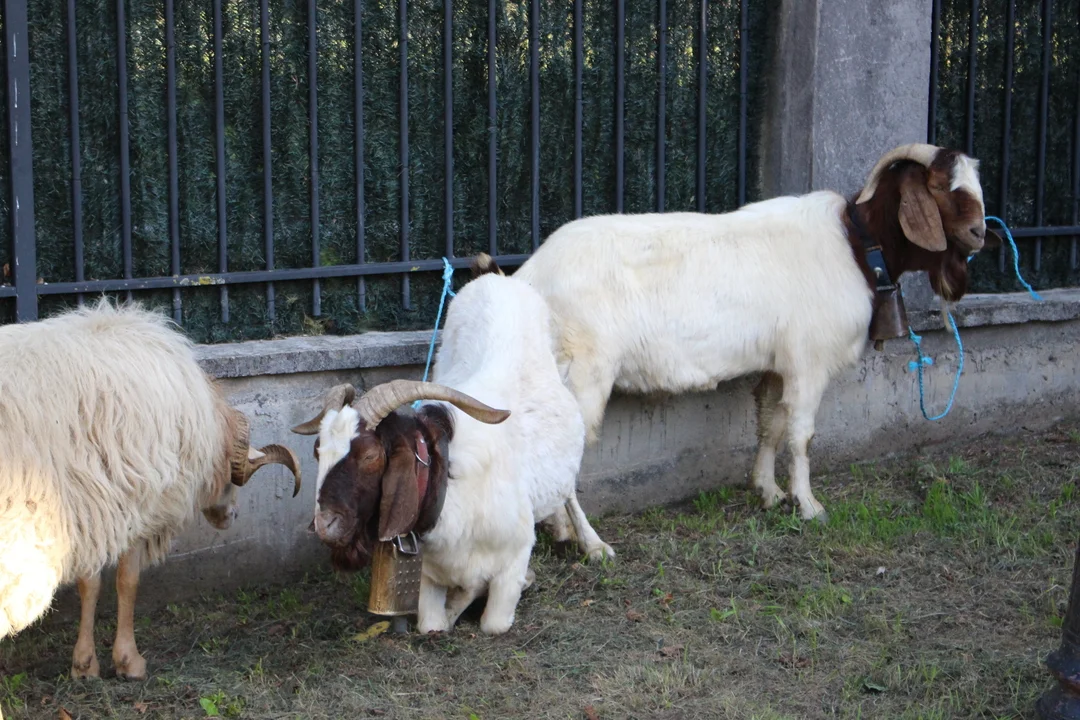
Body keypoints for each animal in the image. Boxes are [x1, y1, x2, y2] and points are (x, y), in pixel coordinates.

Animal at [0, 300, 301, 685]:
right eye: (233, 479)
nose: (232, 516)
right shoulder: (135, 503)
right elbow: (127, 581)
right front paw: (128, 661)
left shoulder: (92, 510)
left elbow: (89, 584)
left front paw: (84, 664)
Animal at [292, 255, 613, 636]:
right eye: (318, 451)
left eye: (370, 455)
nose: (324, 525)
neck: (450, 487)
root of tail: (493, 277)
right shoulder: (430, 575)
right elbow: (433, 625)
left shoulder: (515, 552)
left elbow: (493, 623)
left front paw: (517, 582)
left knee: (569, 489)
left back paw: (592, 543)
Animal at [513, 143, 994, 522]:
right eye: (939, 187)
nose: (980, 234)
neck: (856, 246)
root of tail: (530, 274)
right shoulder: (807, 362)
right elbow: (801, 434)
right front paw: (809, 505)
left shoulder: (778, 364)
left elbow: (770, 426)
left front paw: (769, 492)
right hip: (582, 372)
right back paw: (589, 544)